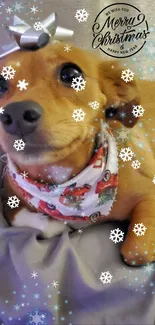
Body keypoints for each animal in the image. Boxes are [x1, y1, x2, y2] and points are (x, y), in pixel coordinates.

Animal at [0, 41, 154, 264]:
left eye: (71, 74)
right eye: (0, 84)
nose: (16, 114)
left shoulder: (148, 193)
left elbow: (136, 251)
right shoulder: (8, 195)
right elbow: (21, 217)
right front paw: (54, 224)